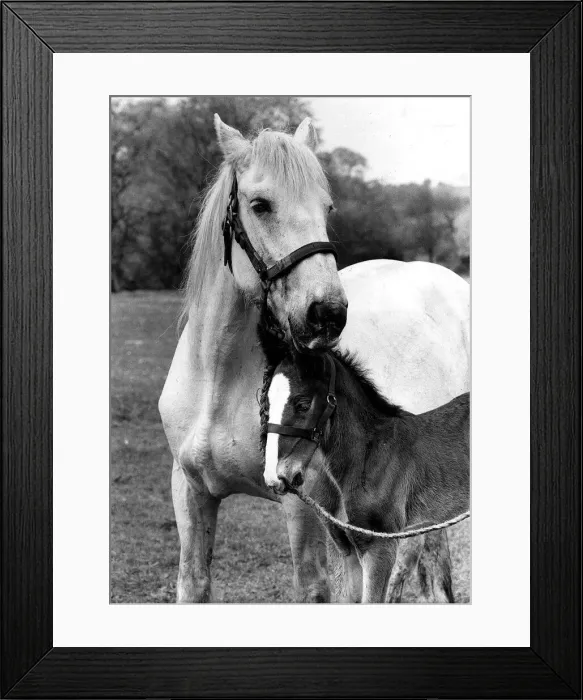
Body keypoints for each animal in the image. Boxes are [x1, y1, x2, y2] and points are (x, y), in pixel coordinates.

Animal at [264, 350, 470, 603]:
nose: (273, 476)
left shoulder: (379, 547)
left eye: (302, 404)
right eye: (267, 403)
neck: (366, 456)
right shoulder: (347, 547)